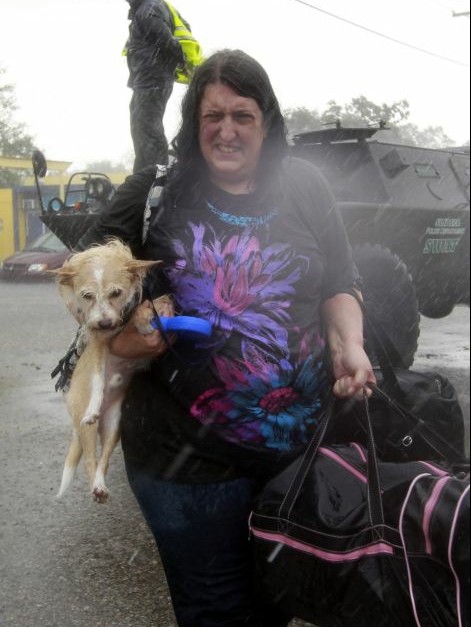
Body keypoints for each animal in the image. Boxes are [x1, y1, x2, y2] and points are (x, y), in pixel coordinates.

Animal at [54, 240, 173, 506]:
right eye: (87, 296)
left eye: (116, 293)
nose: (105, 323)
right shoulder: (100, 346)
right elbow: (98, 381)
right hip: (87, 430)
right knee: (89, 459)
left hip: (114, 426)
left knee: (103, 461)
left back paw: (100, 485)